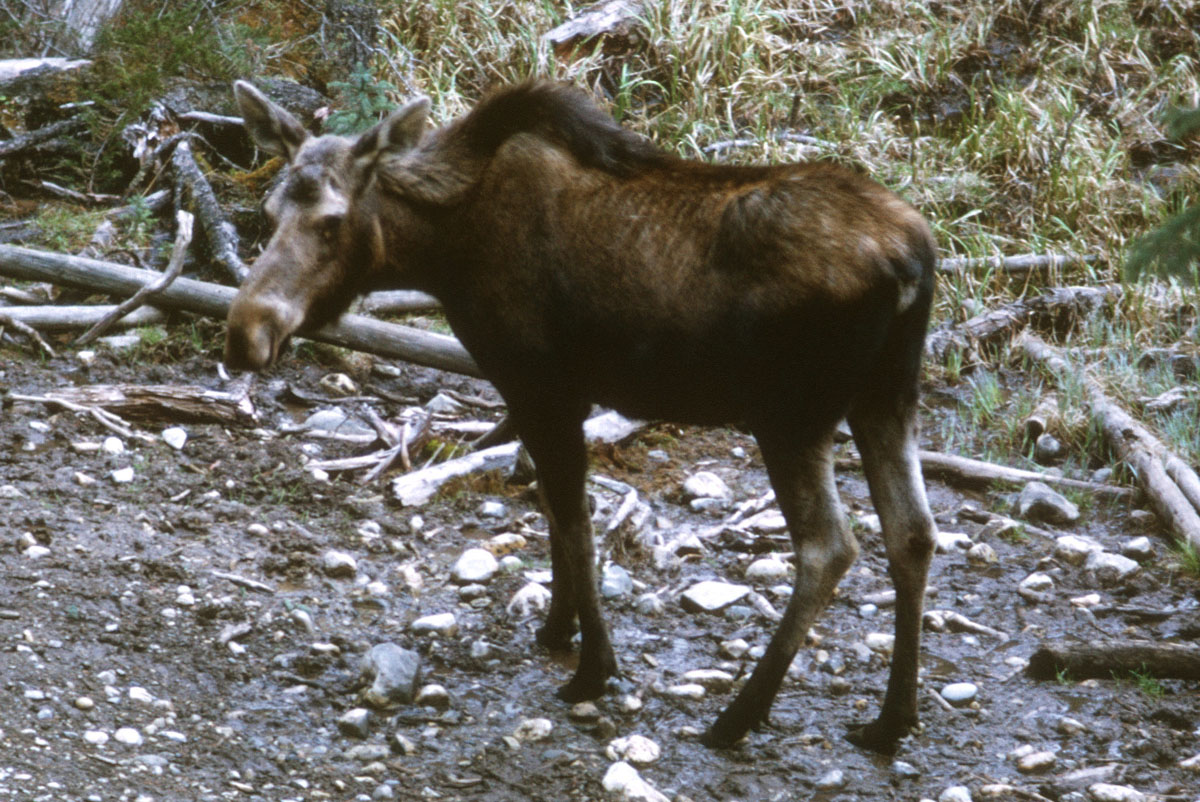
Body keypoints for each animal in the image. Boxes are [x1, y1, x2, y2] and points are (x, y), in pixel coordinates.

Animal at [224, 78, 938, 751]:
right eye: (269, 210)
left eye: (331, 222)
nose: (245, 333)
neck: (440, 250)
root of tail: (913, 262)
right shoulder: (547, 394)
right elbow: (550, 507)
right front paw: (556, 628)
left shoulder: (540, 385)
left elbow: (575, 521)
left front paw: (593, 667)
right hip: (888, 397)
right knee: (913, 534)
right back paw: (891, 719)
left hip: (793, 415)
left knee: (830, 546)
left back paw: (739, 715)